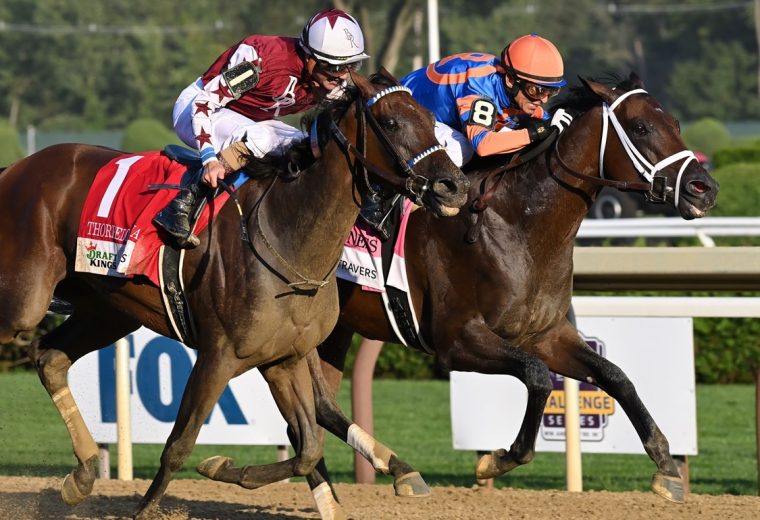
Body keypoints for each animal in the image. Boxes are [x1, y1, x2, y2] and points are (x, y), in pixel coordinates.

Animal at [0, 72, 470, 520]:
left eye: (431, 121)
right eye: (390, 122)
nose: (454, 187)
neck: (286, 233)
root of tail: (14, 168)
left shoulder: (284, 358)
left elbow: (308, 446)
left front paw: (224, 467)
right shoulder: (218, 355)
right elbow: (179, 445)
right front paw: (148, 507)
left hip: (108, 311)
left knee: (50, 359)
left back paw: (81, 475)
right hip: (24, 302)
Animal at [296, 74, 720, 516]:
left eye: (674, 122)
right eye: (640, 128)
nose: (704, 189)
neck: (518, 225)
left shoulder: (545, 335)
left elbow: (615, 376)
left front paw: (666, 466)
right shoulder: (457, 341)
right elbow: (537, 377)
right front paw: (497, 460)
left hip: (334, 331)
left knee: (317, 410)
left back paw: (364, 484)